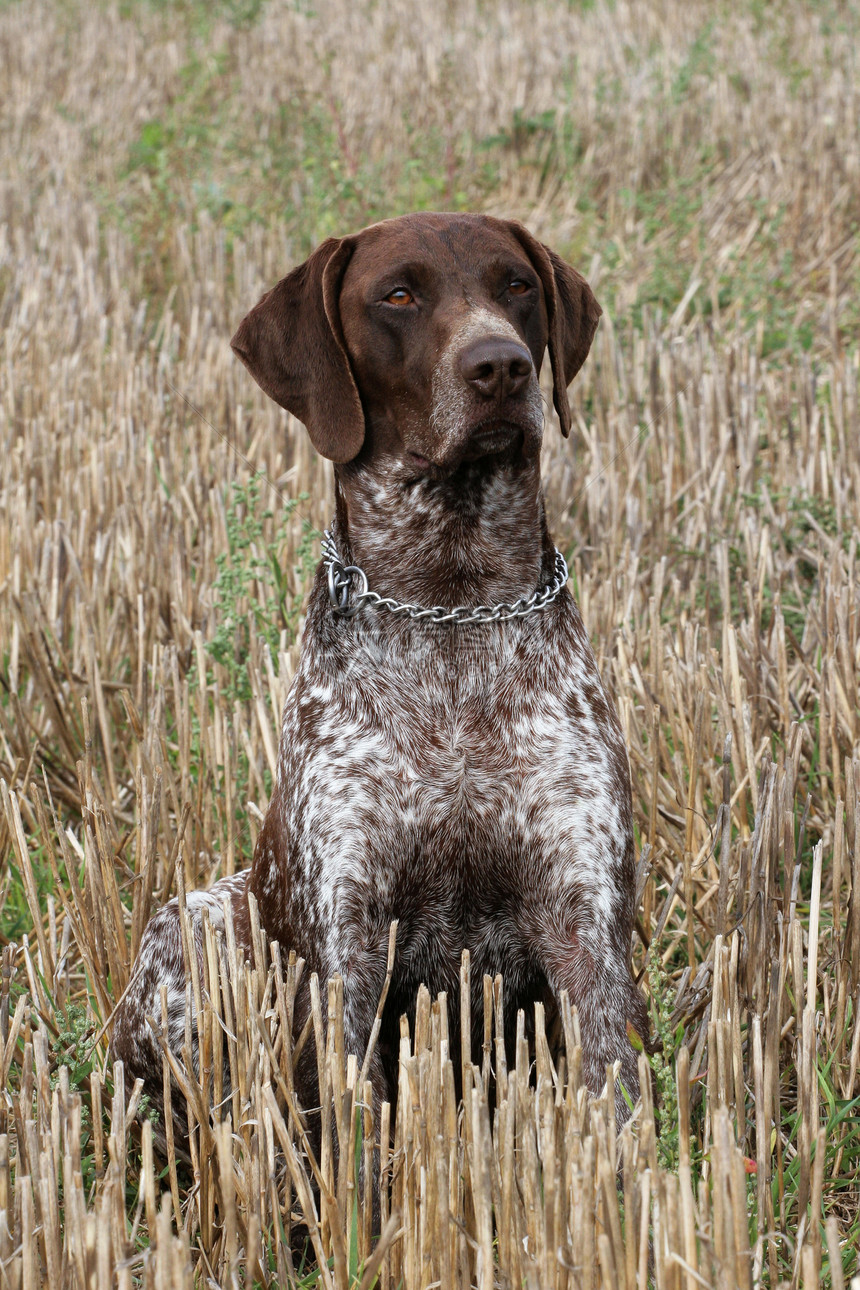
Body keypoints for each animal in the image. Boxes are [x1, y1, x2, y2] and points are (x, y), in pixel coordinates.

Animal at [109, 214, 644, 1150]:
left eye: (517, 286)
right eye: (398, 295)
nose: (501, 366)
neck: (450, 606)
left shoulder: (585, 919)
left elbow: (609, 1108)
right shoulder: (349, 942)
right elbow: (354, 1140)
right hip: (190, 927)